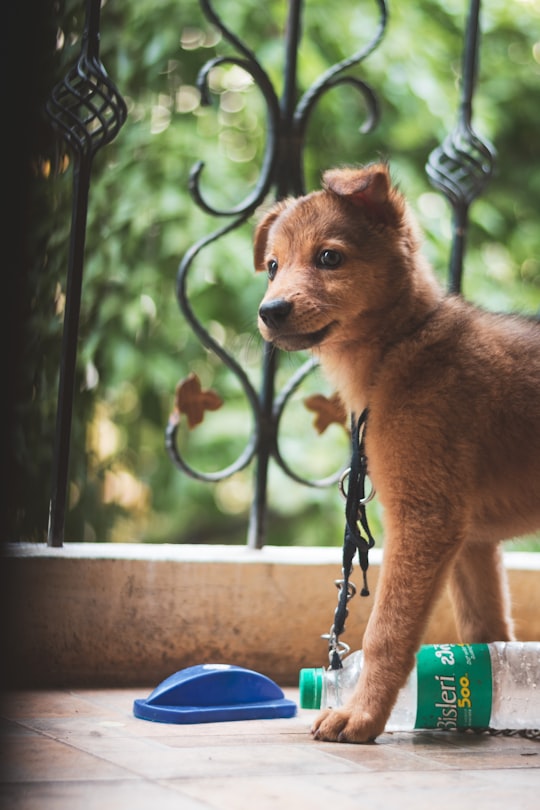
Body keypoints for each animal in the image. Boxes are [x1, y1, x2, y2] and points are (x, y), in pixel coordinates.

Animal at [253, 161, 540, 740]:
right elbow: (486, 628)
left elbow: (386, 630)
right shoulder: (472, 540)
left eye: (329, 257)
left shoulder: (425, 518)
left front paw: (361, 714)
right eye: (272, 266)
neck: (403, 346)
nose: (269, 310)